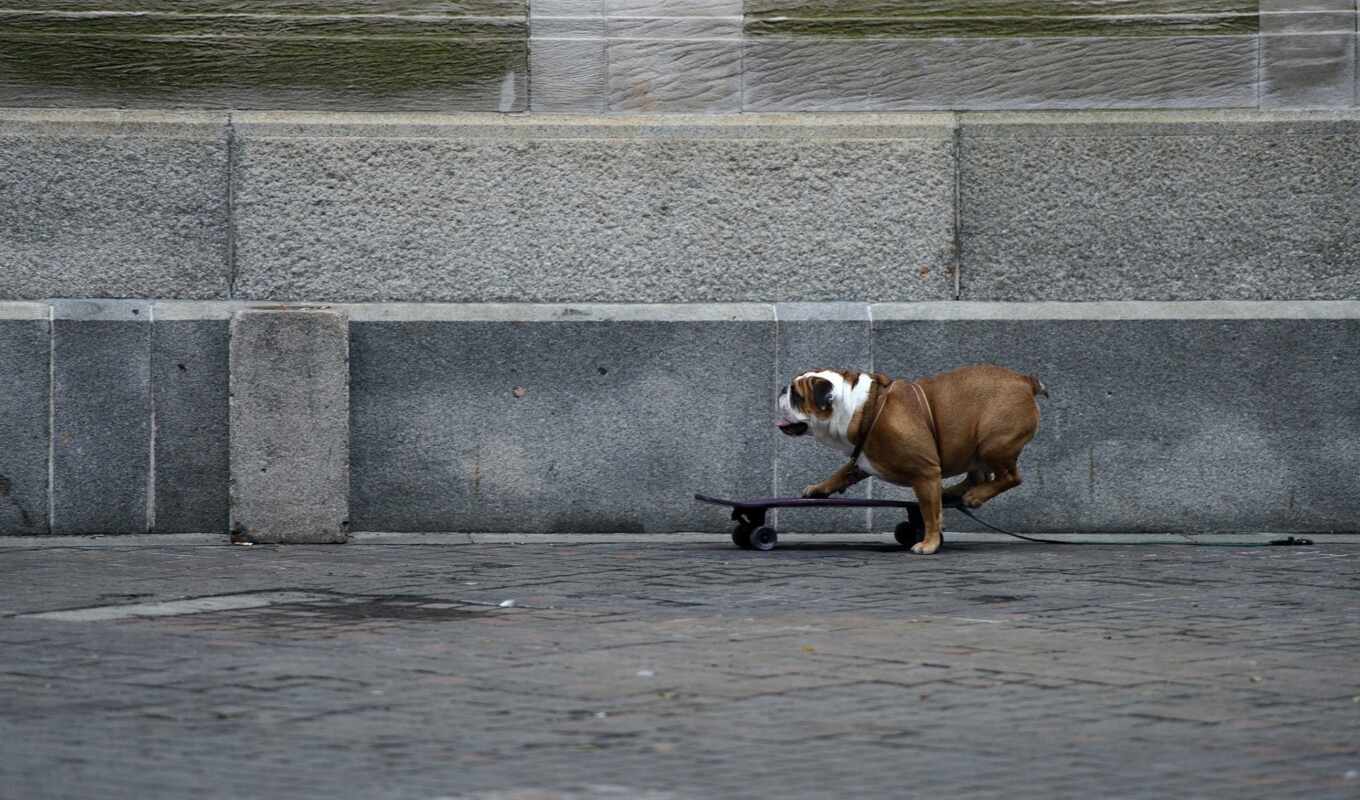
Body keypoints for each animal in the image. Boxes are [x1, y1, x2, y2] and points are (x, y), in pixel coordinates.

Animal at [777, 364, 1049, 552]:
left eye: (796, 395)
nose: (781, 389)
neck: (859, 409)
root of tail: (1026, 381)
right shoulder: (863, 459)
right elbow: (842, 472)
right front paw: (818, 488)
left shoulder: (924, 473)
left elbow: (929, 513)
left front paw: (929, 543)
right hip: (971, 445)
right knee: (978, 476)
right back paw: (953, 492)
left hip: (993, 444)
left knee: (1011, 477)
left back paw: (975, 497)